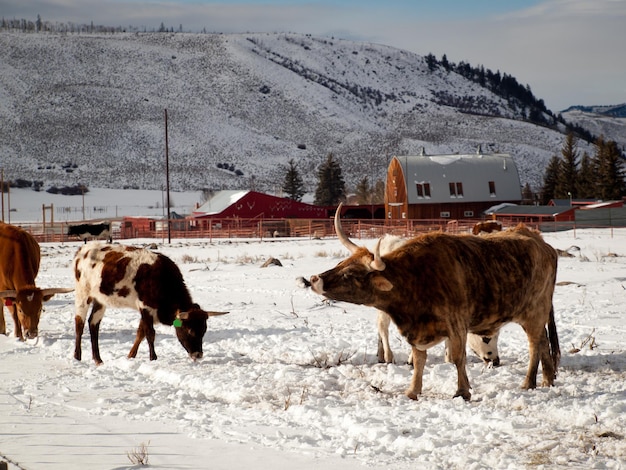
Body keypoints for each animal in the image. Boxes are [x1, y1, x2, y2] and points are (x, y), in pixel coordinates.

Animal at [310, 206, 560, 400]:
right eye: (341, 263)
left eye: (349, 274)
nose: (314, 279)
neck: (416, 279)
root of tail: (542, 243)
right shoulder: (416, 331)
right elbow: (420, 360)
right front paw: (413, 390)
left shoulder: (457, 325)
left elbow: (458, 358)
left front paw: (462, 391)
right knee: (544, 342)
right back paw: (548, 379)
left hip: (534, 313)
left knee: (535, 345)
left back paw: (529, 382)